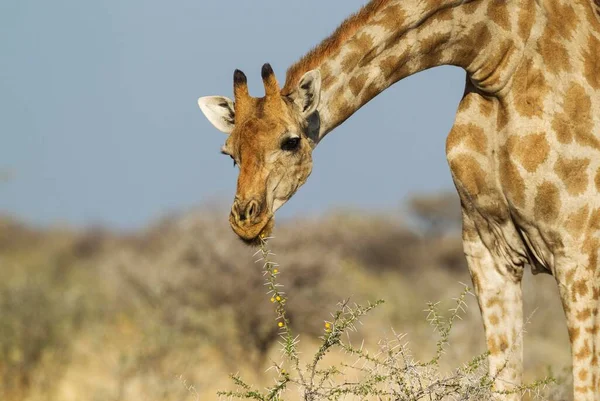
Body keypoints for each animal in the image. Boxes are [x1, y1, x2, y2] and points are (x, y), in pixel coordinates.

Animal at [198, 0, 600, 396]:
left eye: (291, 142)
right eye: (229, 153)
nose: (246, 219)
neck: (498, 55)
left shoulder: (579, 253)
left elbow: (585, 384)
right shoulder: (490, 252)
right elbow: (505, 383)